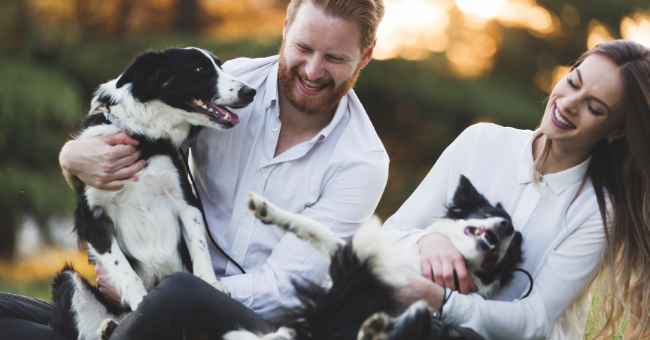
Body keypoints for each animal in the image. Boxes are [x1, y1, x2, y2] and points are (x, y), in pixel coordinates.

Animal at [51, 47, 256, 340]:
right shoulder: (91, 220)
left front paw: (210, 283)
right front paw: (142, 304)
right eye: (200, 70)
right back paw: (109, 327)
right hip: (67, 282)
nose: (250, 91)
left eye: (219, 66)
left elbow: (199, 246)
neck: (143, 139)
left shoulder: (186, 200)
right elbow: (125, 273)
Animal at [223, 175, 520, 340]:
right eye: (489, 214)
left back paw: (372, 330)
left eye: (506, 253)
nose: (508, 227)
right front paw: (267, 210)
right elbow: (314, 227)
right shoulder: (353, 264)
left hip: (428, 319)